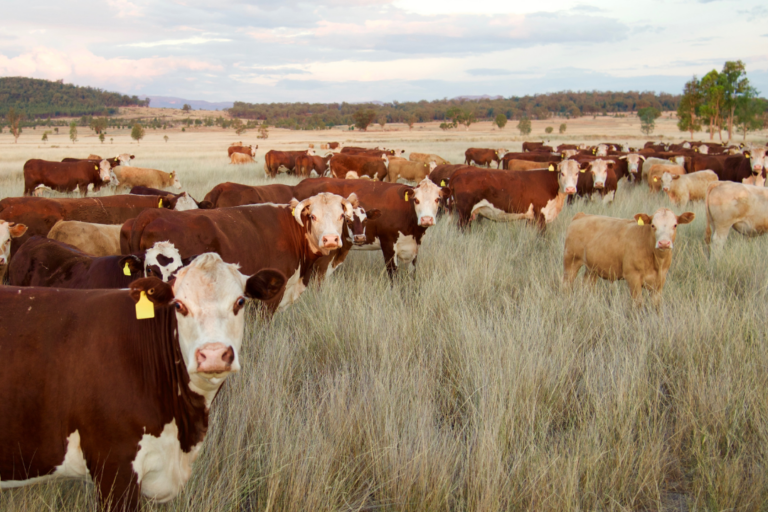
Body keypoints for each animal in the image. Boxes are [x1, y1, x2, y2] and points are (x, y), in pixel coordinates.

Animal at [292, 178, 448, 275]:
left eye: (437, 199)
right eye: (416, 200)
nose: (426, 219)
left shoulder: (414, 248)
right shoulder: (388, 245)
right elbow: (393, 275)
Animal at [449, 159, 582, 229]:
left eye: (577, 173)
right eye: (562, 173)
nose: (570, 188)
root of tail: (459, 172)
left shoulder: (531, 218)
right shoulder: (541, 215)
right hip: (464, 212)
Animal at [563, 209, 695, 307]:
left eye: (675, 225)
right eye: (653, 225)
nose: (664, 243)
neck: (657, 261)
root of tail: (582, 215)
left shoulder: (660, 281)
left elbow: (656, 305)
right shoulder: (633, 277)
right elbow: (637, 303)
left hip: (592, 269)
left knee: (587, 286)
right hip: (571, 261)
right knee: (567, 285)